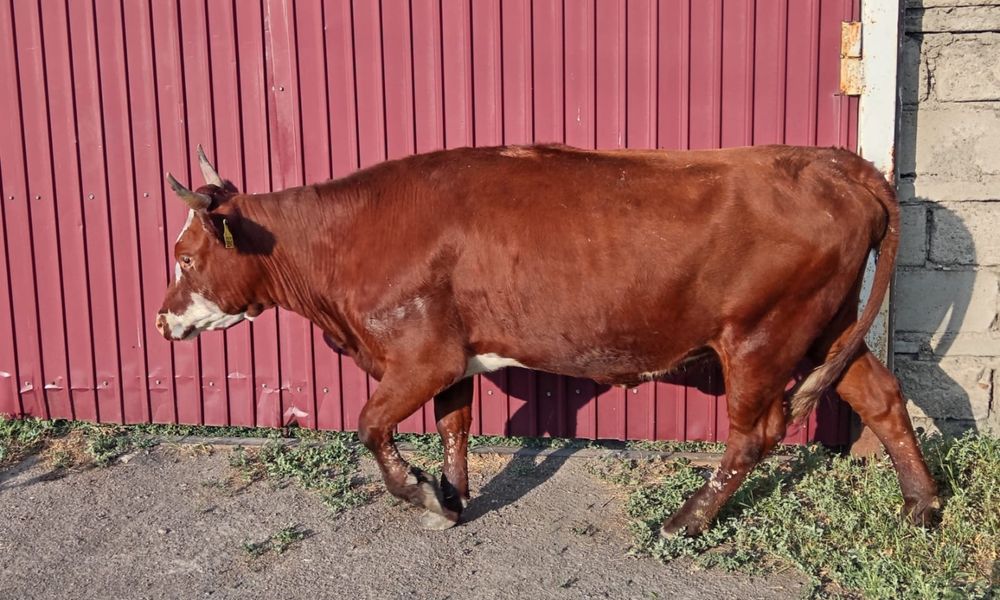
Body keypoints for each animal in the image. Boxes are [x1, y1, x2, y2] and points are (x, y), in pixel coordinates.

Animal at [156, 143, 940, 536]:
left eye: (187, 258)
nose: (162, 320)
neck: (347, 241)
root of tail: (830, 159)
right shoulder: (453, 356)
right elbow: (454, 425)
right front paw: (453, 497)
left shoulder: (421, 356)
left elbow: (371, 426)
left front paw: (422, 495)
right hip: (826, 328)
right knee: (881, 394)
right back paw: (922, 505)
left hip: (761, 335)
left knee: (753, 434)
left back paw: (687, 519)